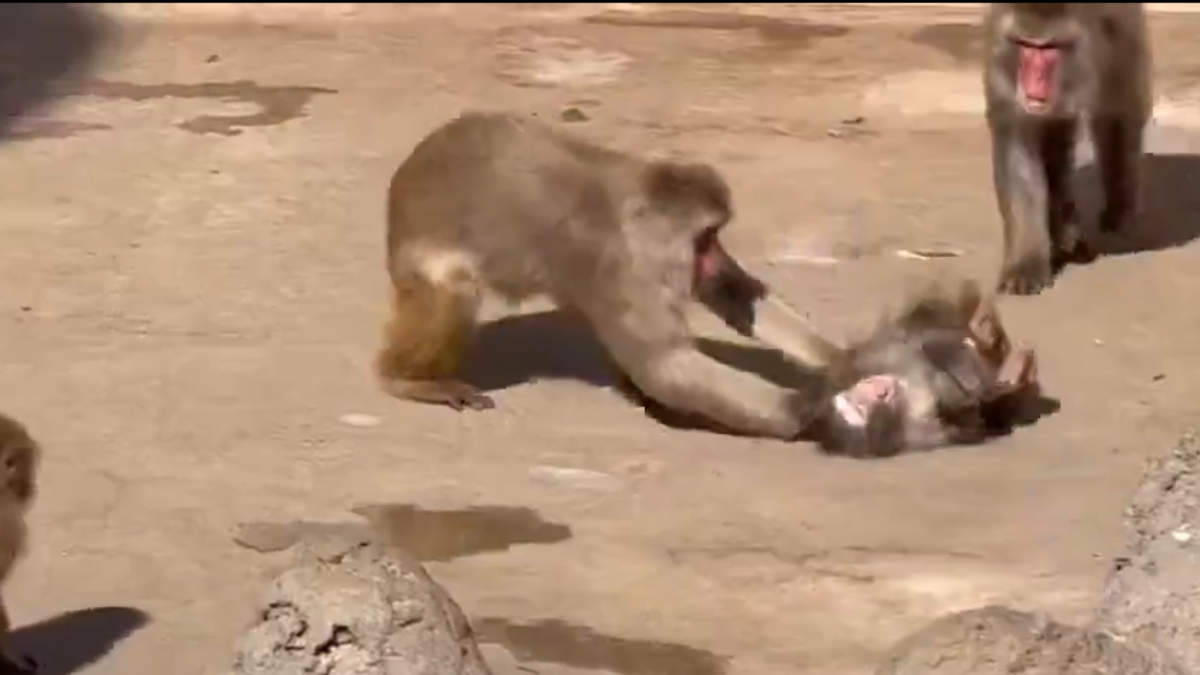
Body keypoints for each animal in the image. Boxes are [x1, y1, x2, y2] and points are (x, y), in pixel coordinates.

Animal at [376, 110, 819, 441]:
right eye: (706, 238)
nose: (716, 259)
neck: (630, 214)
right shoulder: (626, 268)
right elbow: (666, 367)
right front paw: (811, 410)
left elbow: (734, 298)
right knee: (456, 287)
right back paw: (403, 380)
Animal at [984, 3, 1152, 295]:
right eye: (1025, 44)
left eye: (1050, 48)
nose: (1033, 84)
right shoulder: (1003, 65)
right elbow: (1019, 144)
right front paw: (1026, 262)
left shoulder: (1116, 35)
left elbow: (1116, 117)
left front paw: (1121, 216)